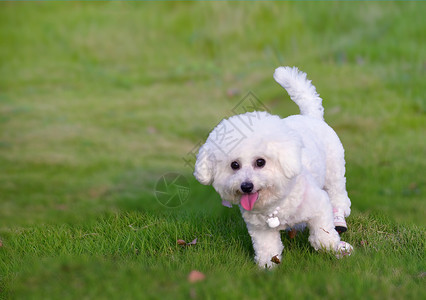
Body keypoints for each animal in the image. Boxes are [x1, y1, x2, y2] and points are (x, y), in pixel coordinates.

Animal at [194, 67, 352, 268]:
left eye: (260, 162)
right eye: (234, 165)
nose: (246, 186)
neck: (274, 205)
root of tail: (310, 116)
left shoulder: (320, 206)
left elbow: (323, 234)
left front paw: (334, 248)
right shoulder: (260, 230)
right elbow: (268, 250)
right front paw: (267, 268)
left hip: (334, 172)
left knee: (338, 195)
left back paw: (339, 215)